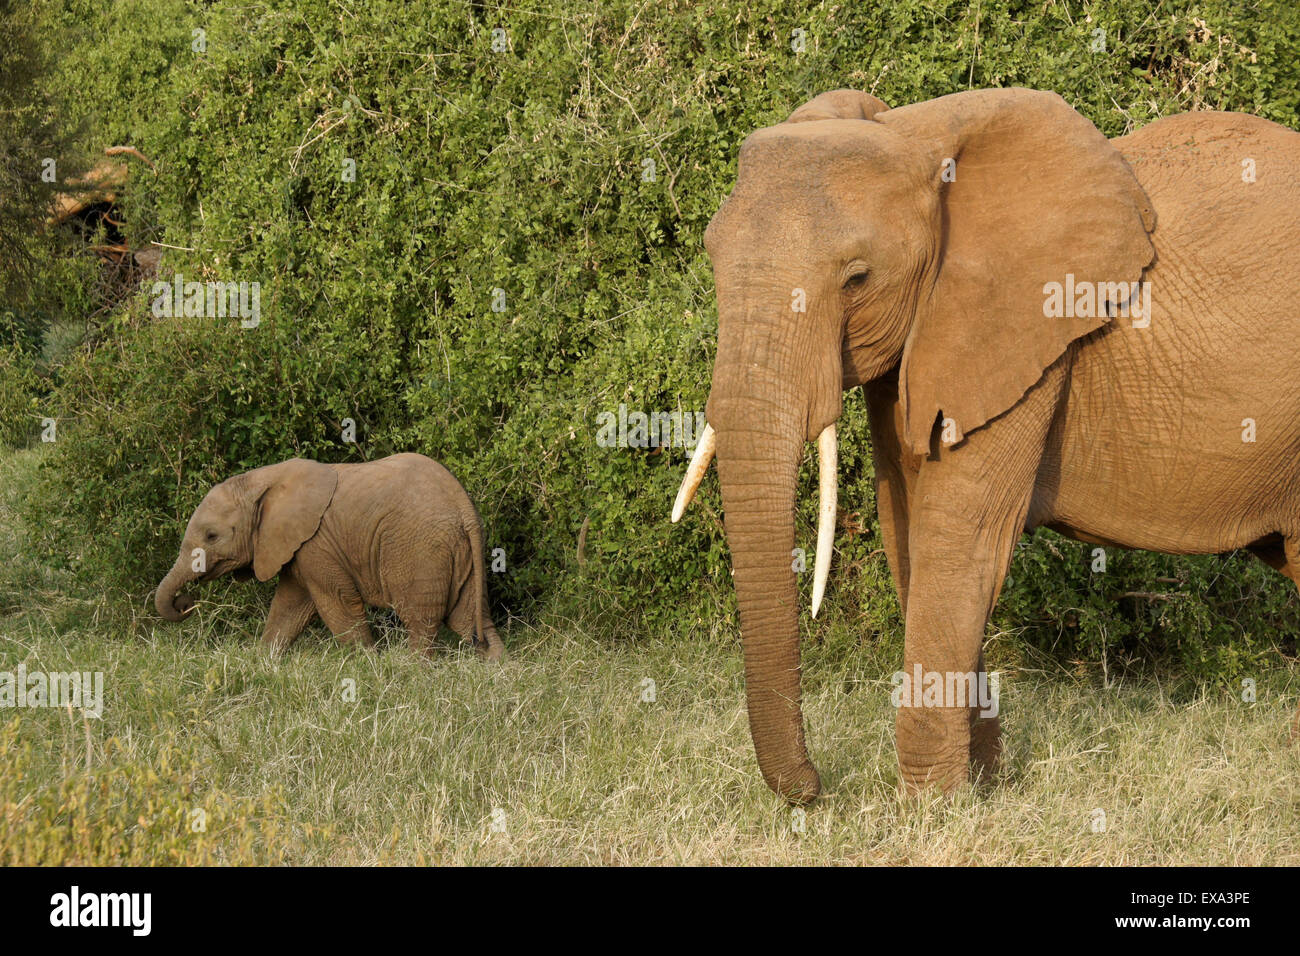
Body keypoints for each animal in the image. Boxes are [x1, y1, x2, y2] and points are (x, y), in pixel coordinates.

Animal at [154, 455, 504, 660]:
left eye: (211, 536)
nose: (186, 603)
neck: (260, 481)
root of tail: (463, 505)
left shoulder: (316, 543)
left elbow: (338, 605)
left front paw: (369, 667)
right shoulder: (298, 549)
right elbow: (289, 606)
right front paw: (263, 662)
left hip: (420, 550)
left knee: (420, 621)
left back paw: (412, 671)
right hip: (457, 550)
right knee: (470, 618)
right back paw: (495, 665)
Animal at [670, 87, 1300, 806]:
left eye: (856, 279)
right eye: (713, 257)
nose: (814, 786)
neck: (916, 137)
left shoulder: (1028, 334)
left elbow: (959, 539)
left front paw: (930, 809)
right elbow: (909, 532)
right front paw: (983, 787)